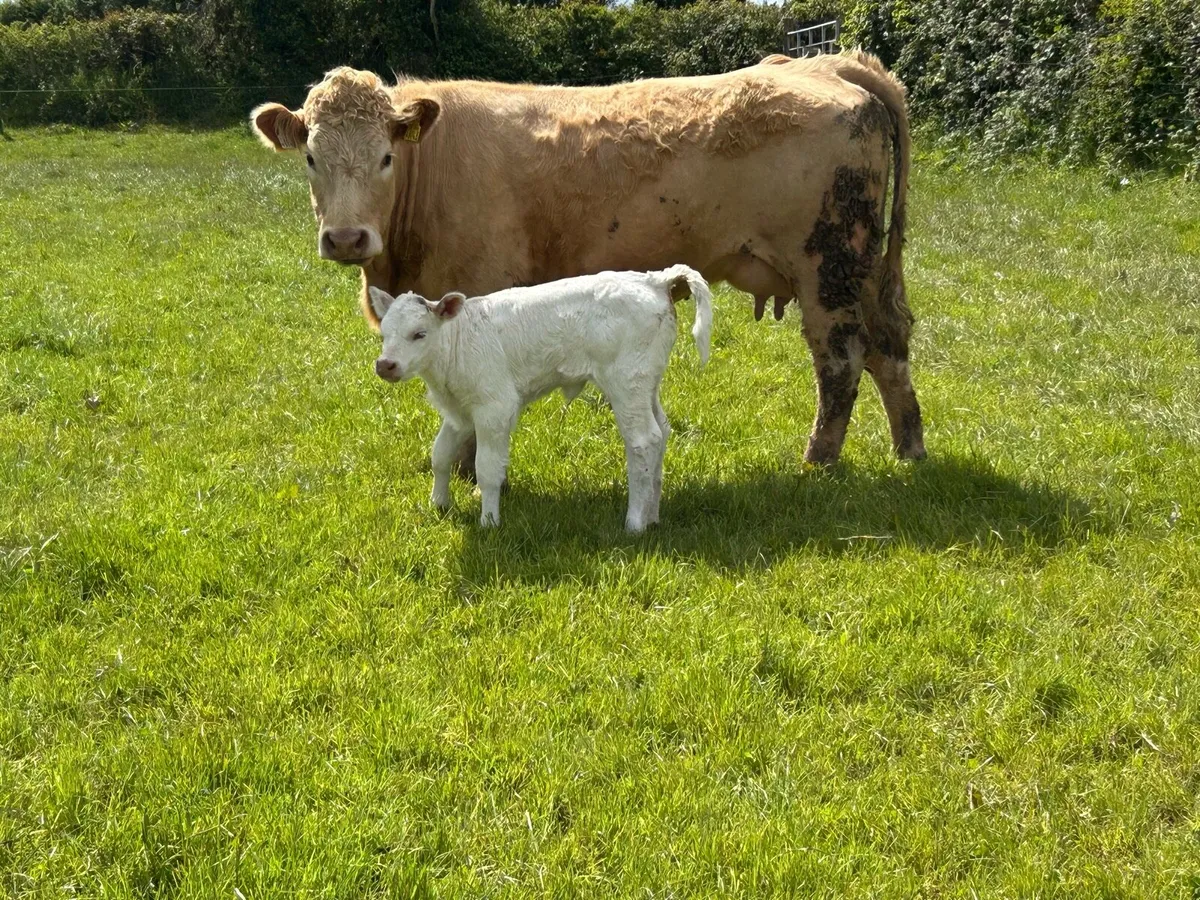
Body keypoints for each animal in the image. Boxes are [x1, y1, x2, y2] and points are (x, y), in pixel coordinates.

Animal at [251, 50, 925, 473]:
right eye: (311, 157)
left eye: (386, 157)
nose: (346, 238)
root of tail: (824, 63)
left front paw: (469, 469)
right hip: (863, 266)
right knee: (889, 347)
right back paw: (909, 449)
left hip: (828, 265)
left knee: (842, 356)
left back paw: (818, 460)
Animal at [369, 266, 712, 531]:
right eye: (384, 333)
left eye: (420, 333)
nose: (385, 365)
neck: (459, 340)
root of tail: (656, 281)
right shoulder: (460, 412)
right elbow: (440, 455)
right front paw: (438, 505)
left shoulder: (494, 408)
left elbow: (487, 469)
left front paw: (489, 522)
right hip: (646, 382)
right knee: (662, 430)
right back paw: (653, 516)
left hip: (626, 382)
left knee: (643, 440)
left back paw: (635, 523)